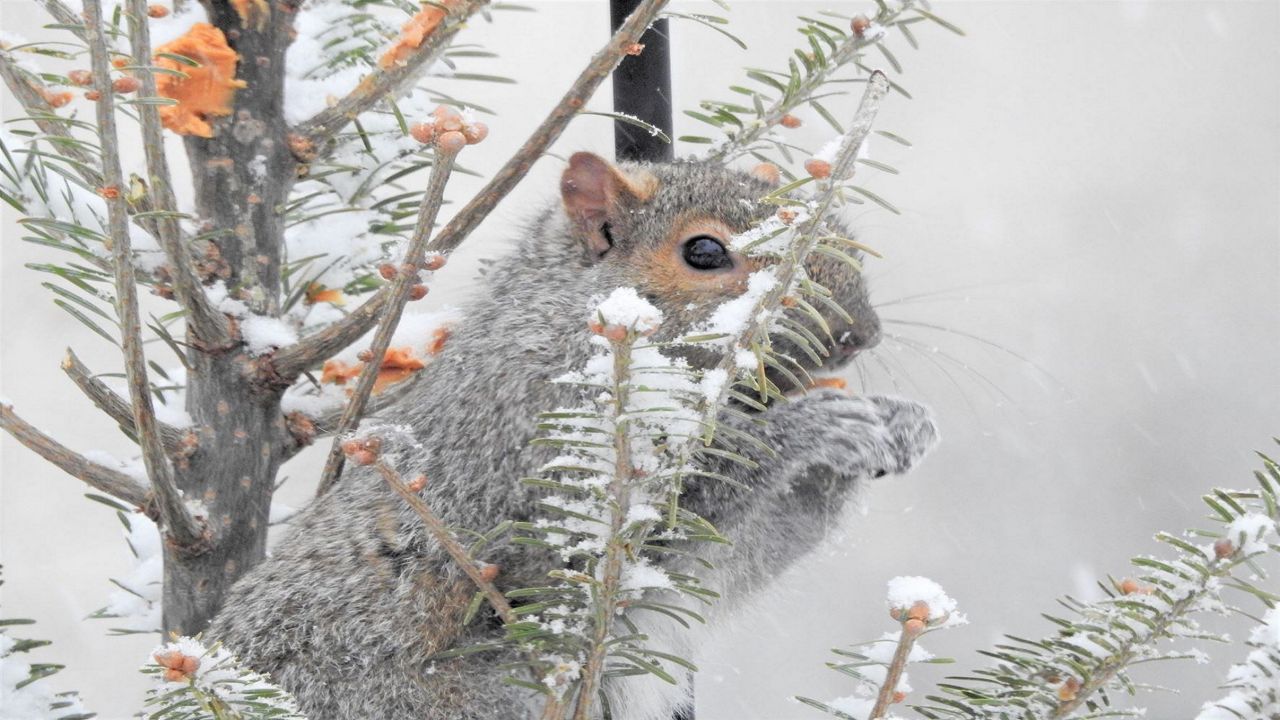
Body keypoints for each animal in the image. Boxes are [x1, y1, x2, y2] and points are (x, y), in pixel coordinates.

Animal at [209, 152, 942, 717]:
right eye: (704, 251)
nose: (859, 334)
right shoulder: (527, 430)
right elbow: (619, 529)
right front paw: (809, 430)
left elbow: (745, 551)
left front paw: (897, 422)